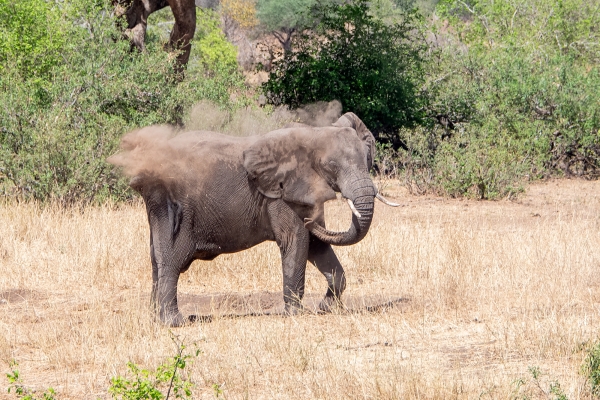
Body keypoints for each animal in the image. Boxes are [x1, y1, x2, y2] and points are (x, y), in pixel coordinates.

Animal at [109, 111, 398, 324]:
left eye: (367, 158)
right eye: (331, 166)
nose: (312, 217)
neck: (313, 133)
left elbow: (317, 245)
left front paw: (325, 308)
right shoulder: (282, 195)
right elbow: (296, 242)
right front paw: (296, 316)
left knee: (156, 260)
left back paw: (154, 317)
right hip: (170, 205)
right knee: (171, 261)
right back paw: (174, 322)